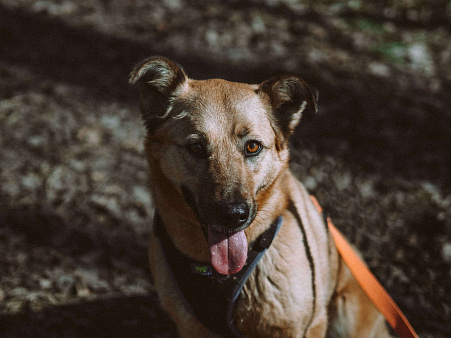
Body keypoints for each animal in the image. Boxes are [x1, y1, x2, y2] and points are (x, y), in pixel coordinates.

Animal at [129, 56, 390, 336]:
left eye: (253, 146)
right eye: (196, 147)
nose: (233, 215)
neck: (217, 272)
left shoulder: (301, 326)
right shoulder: (191, 327)